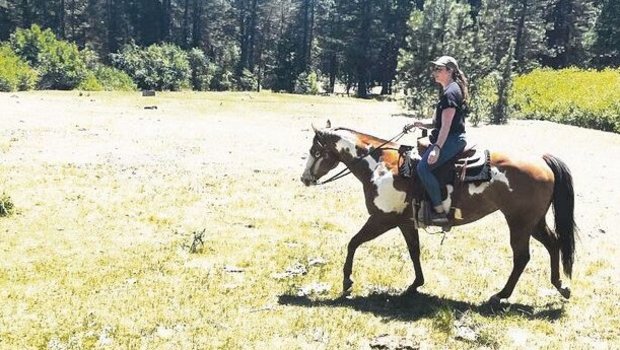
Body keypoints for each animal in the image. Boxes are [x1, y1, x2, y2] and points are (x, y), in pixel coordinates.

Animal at [300, 120, 576, 304]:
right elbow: (414, 251)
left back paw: (501, 295)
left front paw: (347, 281)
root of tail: (541, 161)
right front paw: (415, 284)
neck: (380, 166)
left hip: (519, 223)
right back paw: (560, 286)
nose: (305, 179)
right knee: (553, 244)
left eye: (316, 151)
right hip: (534, 222)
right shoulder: (405, 221)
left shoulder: (382, 219)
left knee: (522, 257)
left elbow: (353, 242)